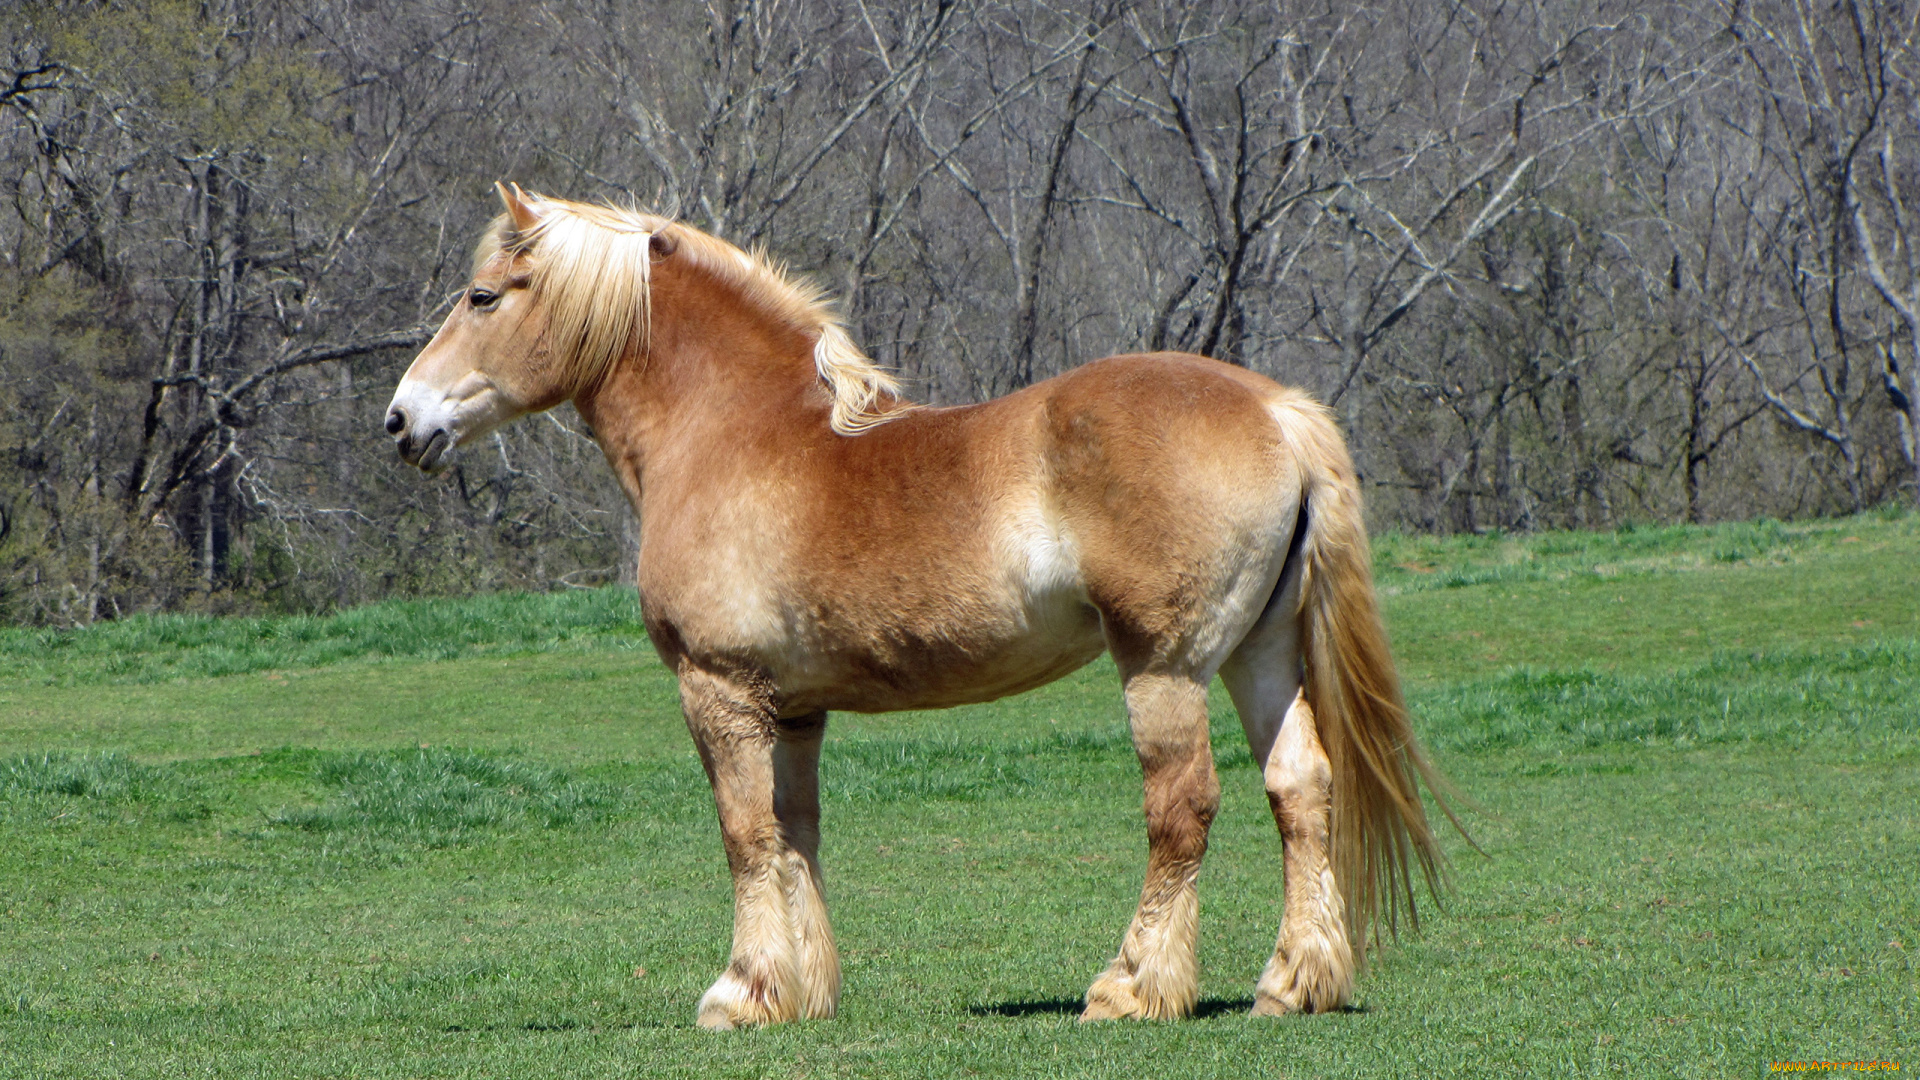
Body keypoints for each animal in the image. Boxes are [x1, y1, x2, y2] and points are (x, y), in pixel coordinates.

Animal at [384, 183, 1461, 1029]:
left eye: (482, 296)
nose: (401, 420)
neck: (736, 431)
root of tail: (1277, 408)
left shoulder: (717, 689)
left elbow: (744, 833)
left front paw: (740, 992)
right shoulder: (794, 709)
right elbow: (796, 833)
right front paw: (801, 993)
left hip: (1166, 666)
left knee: (1182, 809)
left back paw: (1132, 987)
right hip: (1257, 654)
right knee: (1300, 791)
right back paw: (1294, 982)